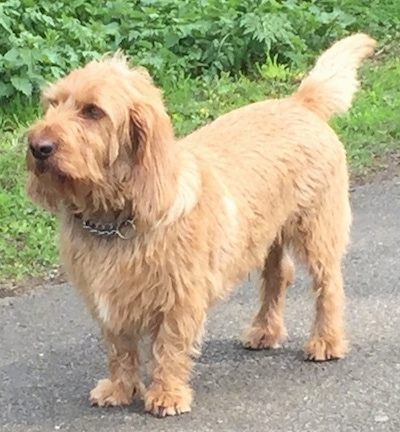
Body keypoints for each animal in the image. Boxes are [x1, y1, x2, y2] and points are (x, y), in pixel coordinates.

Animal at [25, 35, 376, 416]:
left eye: (92, 111)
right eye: (52, 104)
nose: (37, 146)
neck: (113, 218)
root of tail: (300, 103)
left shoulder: (181, 297)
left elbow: (169, 345)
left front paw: (166, 393)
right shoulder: (107, 301)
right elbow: (120, 348)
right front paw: (120, 388)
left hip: (316, 231)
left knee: (328, 285)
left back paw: (326, 340)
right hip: (266, 236)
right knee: (277, 276)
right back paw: (265, 330)